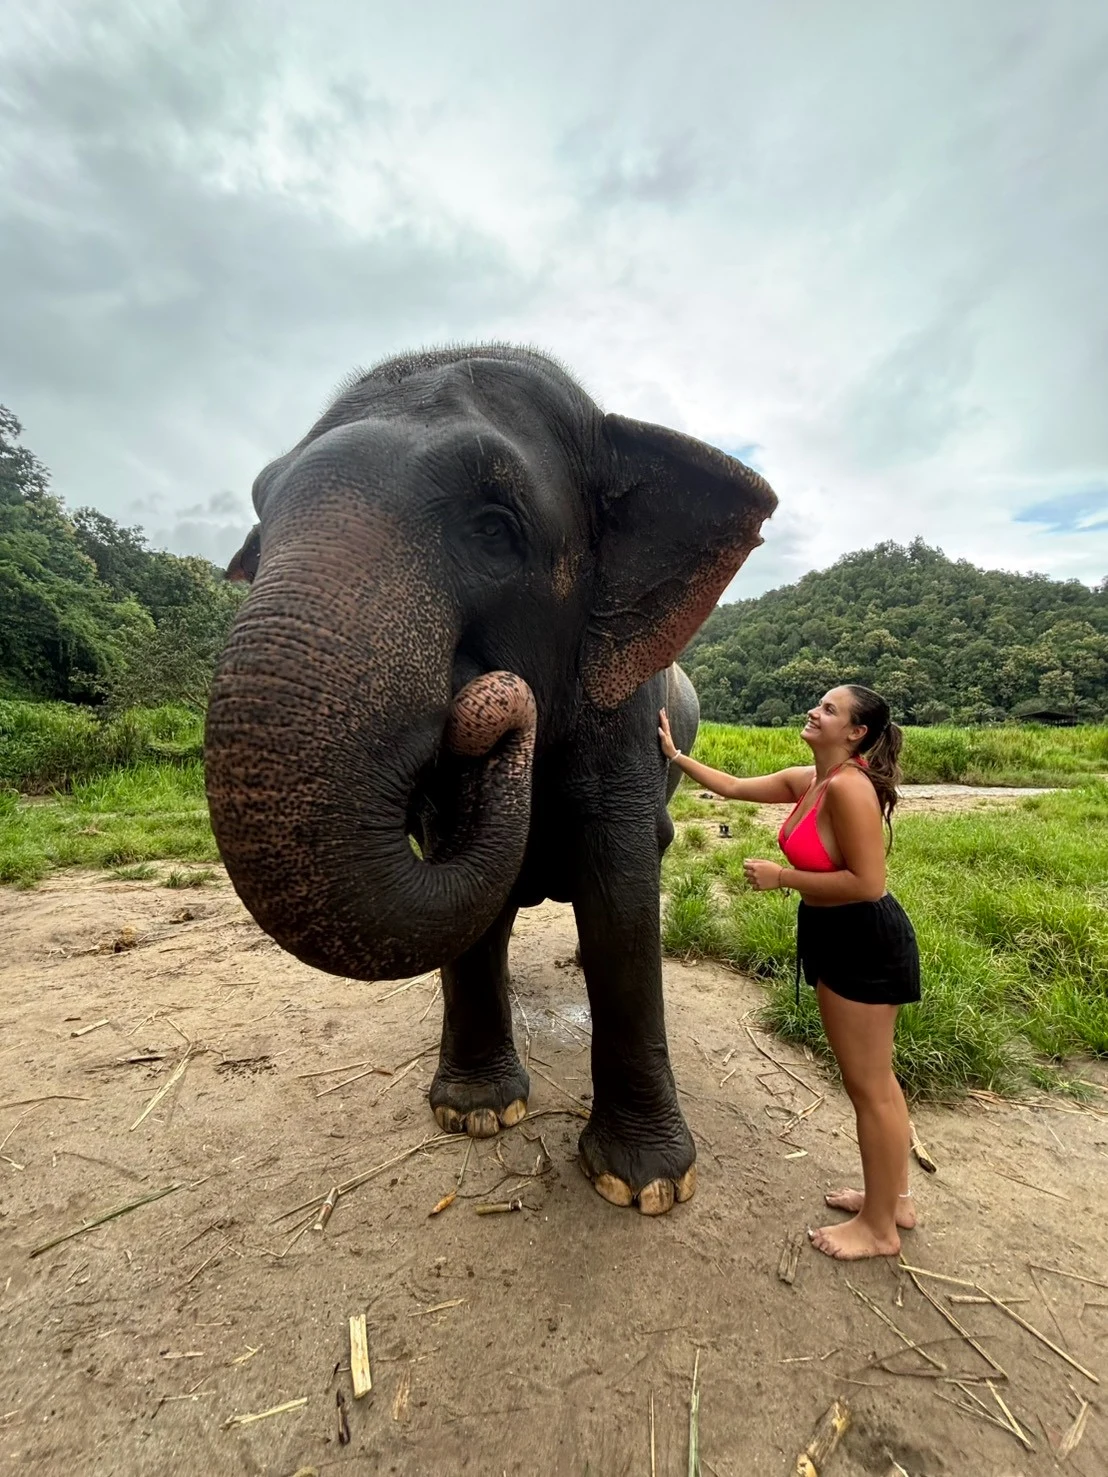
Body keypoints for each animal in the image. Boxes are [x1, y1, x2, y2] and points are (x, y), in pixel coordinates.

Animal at [206, 344, 777, 1215]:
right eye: (262, 534)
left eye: (495, 531)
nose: (492, 701)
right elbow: (467, 890)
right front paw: (475, 1115)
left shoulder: (619, 714)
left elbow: (619, 886)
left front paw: (644, 1184)